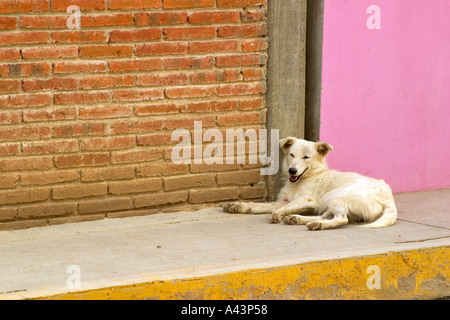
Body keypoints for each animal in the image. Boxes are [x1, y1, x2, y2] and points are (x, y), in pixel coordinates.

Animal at [222, 138, 398, 230]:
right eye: (291, 155)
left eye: (306, 157)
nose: (292, 170)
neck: (307, 176)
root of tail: (388, 197)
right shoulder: (284, 200)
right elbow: (260, 206)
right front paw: (240, 206)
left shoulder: (307, 200)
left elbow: (280, 209)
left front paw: (278, 214)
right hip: (331, 202)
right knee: (328, 216)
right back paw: (300, 219)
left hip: (336, 197)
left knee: (342, 219)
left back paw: (316, 224)